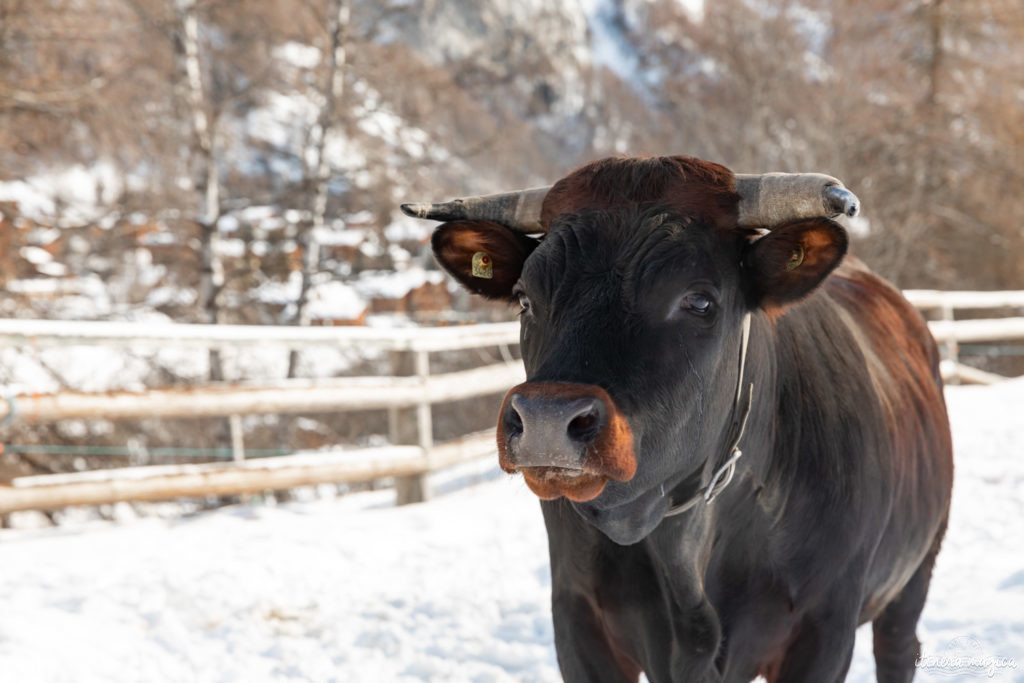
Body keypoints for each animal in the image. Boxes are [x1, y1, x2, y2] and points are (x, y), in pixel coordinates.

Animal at [399, 156, 950, 683]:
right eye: (524, 298)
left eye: (698, 300)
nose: (546, 419)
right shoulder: (577, 620)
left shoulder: (825, 631)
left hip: (915, 571)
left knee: (899, 649)